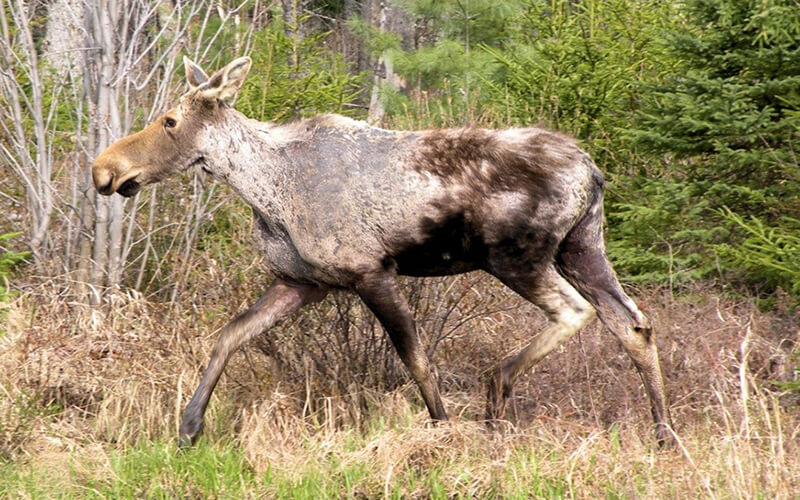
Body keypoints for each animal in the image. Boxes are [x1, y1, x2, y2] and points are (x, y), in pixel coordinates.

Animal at [92, 56, 676, 448]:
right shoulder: (305, 281)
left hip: (517, 257)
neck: (266, 189)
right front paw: (189, 427)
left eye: (169, 121)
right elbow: (229, 335)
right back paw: (663, 432)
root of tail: (593, 171)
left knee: (575, 313)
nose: (105, 170)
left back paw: (495, 396)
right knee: (635, 324)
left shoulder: (369, 271)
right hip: (583, 247)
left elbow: (416, 360)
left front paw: (443, 428)